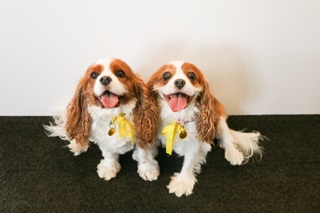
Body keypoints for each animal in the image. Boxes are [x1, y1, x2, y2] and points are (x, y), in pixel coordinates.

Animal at [148, 61, 262, 196]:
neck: (178, 117)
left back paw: (233, 153)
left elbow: (189, 162)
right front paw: (148, 167)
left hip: (219, 118)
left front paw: (182, 182)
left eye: (191, 75)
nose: (180, 82)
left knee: (228, 139)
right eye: (166, 76)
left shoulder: (195, 141)